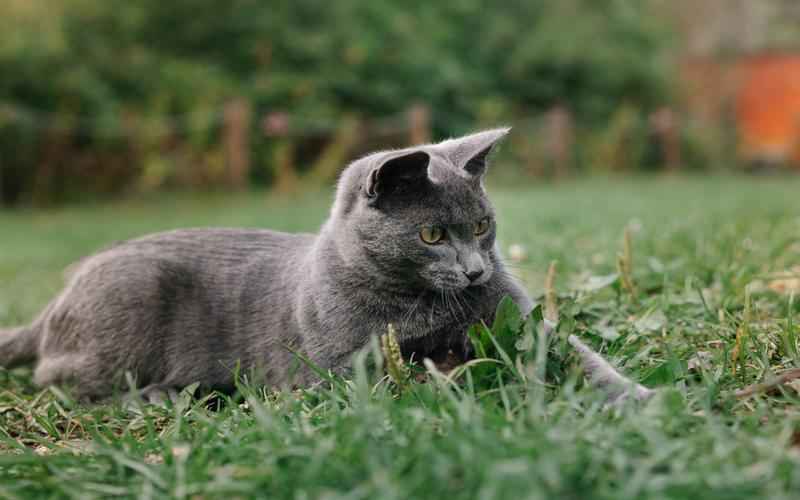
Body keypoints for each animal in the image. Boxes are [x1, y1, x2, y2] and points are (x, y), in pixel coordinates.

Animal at [1, 129, 536, 402]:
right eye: (432, 236)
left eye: (483, 225)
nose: (475, 271)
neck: (421, 305)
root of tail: (56, 301)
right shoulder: (338, 365)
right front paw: (446, 374)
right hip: (128, 302)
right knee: (58, 380)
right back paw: (155, 395)